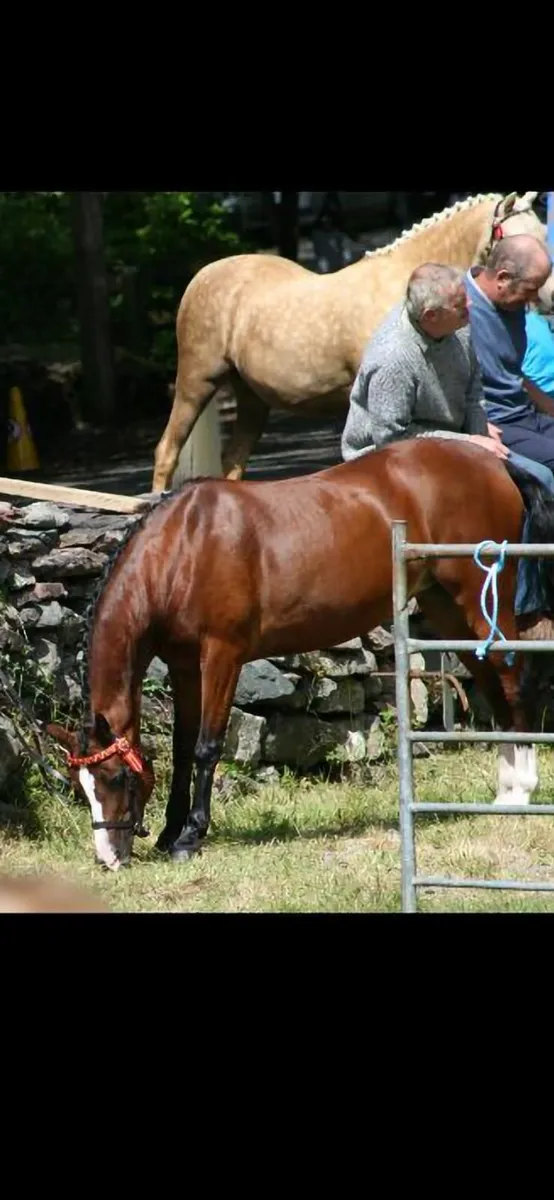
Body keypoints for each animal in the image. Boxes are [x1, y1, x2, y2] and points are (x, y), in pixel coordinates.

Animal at [46, 437, 554, 872]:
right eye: (80, 787)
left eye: (115, 779)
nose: (108, 858)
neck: (181, 550)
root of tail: (496, 464)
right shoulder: (183, 666)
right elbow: (182, 747)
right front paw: (171, 833)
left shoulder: (222, 656)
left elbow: (208, 747)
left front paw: (190, 837)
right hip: (448, 611)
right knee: (493, 688)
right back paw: (504, 792)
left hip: (485, 603)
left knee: (515, 685)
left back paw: (520, 794)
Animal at [151, 191, 554, 492]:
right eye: (513, 237)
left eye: (542, 230)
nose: (549, 296)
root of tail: (203, 275)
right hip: (196, 383)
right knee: (166, 452)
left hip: (252, 398)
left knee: (233, 462)